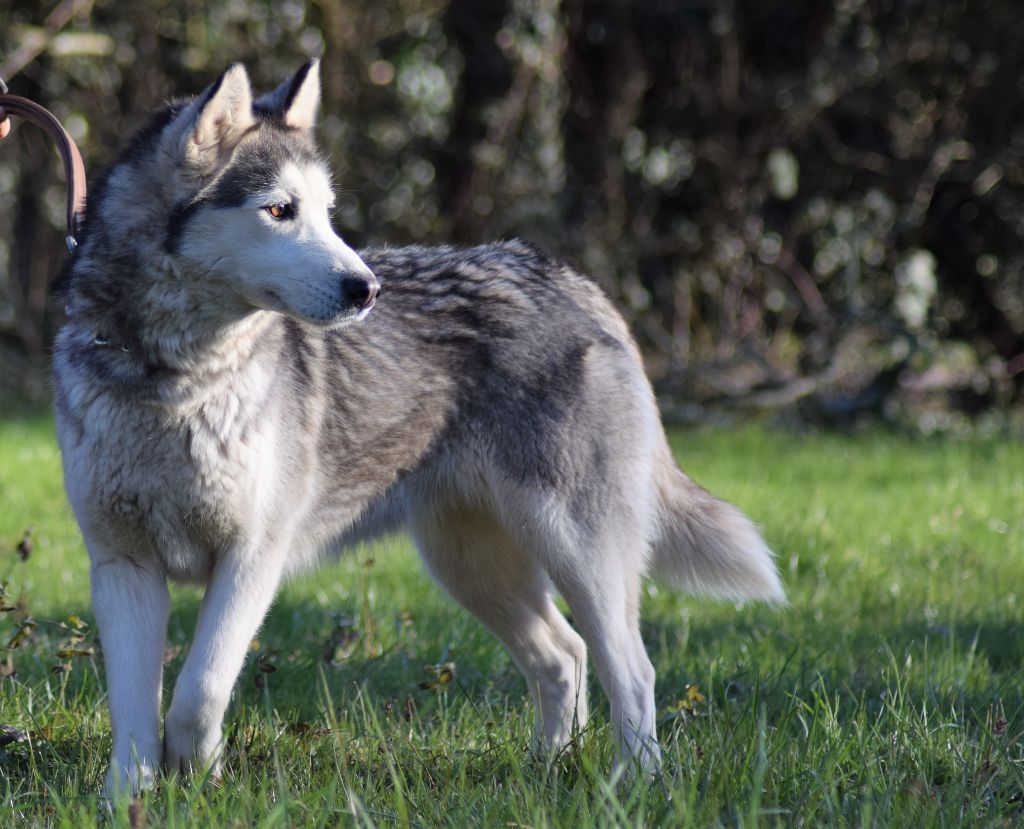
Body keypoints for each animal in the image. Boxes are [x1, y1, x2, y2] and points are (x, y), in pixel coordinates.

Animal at [51, 61, 778, 790]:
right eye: (280, 210)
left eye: (327, 214)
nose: (367, 289)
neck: (171, 380)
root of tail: (565, 277)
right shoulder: (122, 566)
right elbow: (135, 712)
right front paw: (132, 796)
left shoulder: (253, 559)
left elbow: (199, 691)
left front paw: (198, 771)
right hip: (471, 562)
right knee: (564, 652)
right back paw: (549, 766)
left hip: (577, 549)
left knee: (633, 669)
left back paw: (633, 784)